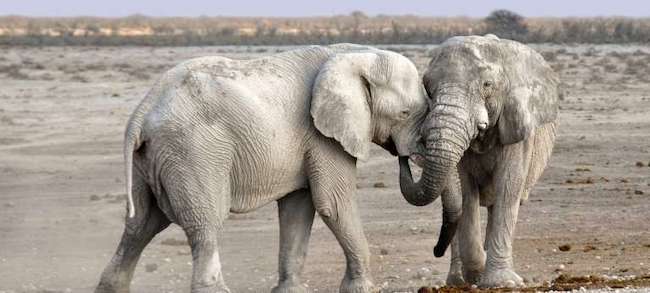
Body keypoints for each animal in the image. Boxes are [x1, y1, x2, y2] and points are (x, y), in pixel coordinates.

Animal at [92, 43, 446, 292]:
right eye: (404, 113)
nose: (406, 156)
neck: (354, 54)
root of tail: (142, 112)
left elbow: (298, 208)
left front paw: (289, 290)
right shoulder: (322, 135)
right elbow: (333, 203)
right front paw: (361, 288)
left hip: (151, 160)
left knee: (142, 224)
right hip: (193, 152)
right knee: (204, 223)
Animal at [398, 34, 560, 288]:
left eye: (487, 85)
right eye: (427, 88)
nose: (404, 156)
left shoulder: (517, 128)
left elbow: (509, 187)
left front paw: (501, 283)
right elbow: (466, 192)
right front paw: (477, 273)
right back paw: (457, 280)